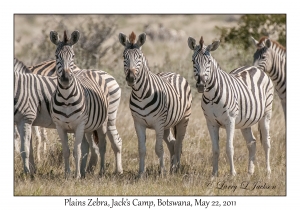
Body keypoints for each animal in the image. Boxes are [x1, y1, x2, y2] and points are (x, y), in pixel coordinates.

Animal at [49, 30, 122, 178]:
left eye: (73, 56)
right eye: (56, 56)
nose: (65, 79)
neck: (66, 97)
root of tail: (90, 69)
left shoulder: (79, 125)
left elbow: (77, 151)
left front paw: (76, 176)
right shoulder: (60, 126)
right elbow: (67, 151)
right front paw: (68, 175)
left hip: (102, 123)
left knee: (103, 145)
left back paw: (101, 171)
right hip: (89, 126)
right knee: (88, 146)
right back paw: (84, 172)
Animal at [118, 31, 191, 176]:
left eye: (139, 57)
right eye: (124, 57)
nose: (131, 78)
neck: (141, 95)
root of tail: (173, 73)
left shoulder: (158, 123)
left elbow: (159, 148)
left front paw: (162, 173)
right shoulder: (138, 123)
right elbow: (141, 149)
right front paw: (141, 173)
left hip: (182, 120)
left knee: (178, 143)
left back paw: (176, 168)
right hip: (167, 125)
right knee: (172, 143)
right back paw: (172, 168)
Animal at [188, 36, 274, 177]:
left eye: (209, 62)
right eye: (193, 61)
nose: (201, 85)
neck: (211, 97)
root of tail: (256, 68)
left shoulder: (230, 121)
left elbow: (229, 148)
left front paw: (232, 174)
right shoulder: (210, 123)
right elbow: (215, 149)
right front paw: (214, 174)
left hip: (266, 113)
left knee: (266, 142)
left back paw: (268, 172)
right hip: (246, 121)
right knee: (252, 142)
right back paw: (250, 172)